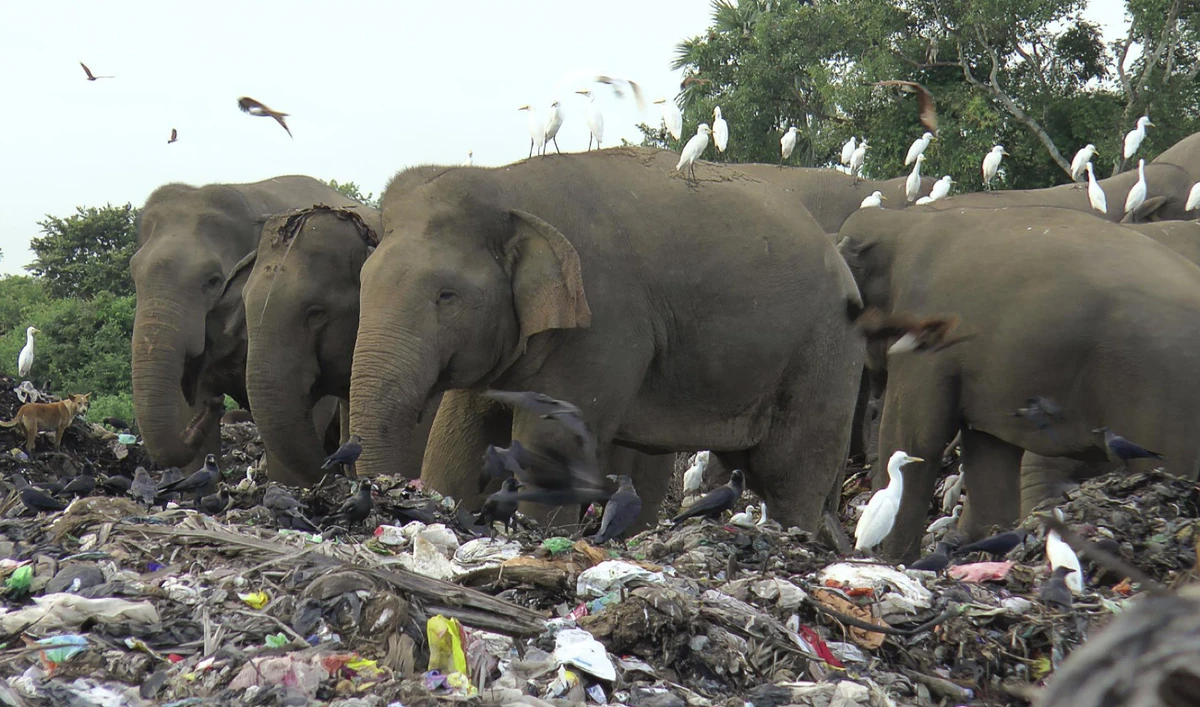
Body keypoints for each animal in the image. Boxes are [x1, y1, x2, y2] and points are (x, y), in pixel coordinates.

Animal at [348, 147, 865, 533]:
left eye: (447, 296)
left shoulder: (602, 320)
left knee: (789, 473)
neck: (508, 184)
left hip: (827, 351)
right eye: (363, 280)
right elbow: (462, 438)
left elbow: (552, 441)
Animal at [838, 205, 1200, 561]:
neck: (902, 220)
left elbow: (916, 439)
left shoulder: (927, 338)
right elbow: (988, 453)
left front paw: (894, 560)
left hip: (1160, 391)